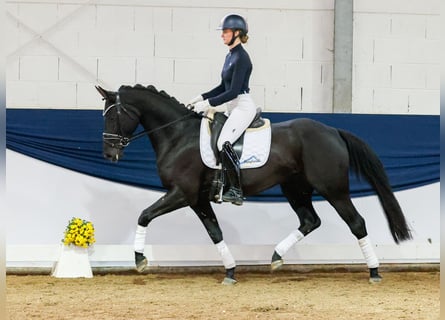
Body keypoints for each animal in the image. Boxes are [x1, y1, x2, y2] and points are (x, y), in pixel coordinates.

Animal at [95, 84, 412, 284]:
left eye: (113, 115)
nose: (109, 154)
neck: (178, 135)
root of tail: (333, 130)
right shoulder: (198, 199)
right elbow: (215, 232)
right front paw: (230, 271)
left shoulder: (182, 193)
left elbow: (144, 215)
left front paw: (139, 259)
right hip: (294, 188)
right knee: (310, 220)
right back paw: (276, 257)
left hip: (333, 189)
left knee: (356, 223)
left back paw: (374, 272)